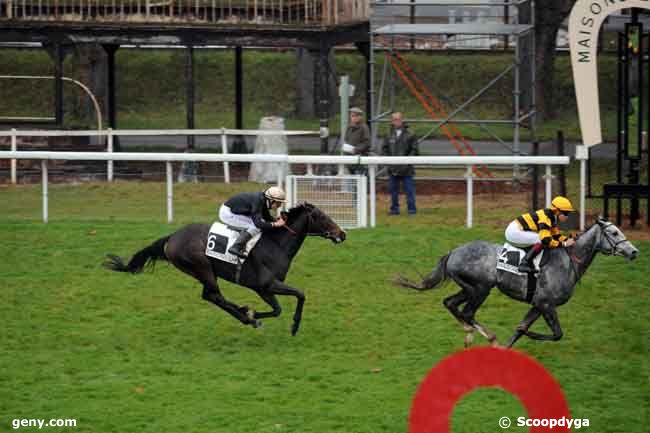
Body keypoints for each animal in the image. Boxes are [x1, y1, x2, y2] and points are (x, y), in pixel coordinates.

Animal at [394, 218, 636, 346]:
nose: (634, 251)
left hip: (470, 288)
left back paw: (471, 334)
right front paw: (527, 336)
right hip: (480, 288)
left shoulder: (539, 304)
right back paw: (488, 337)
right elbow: (556, 334)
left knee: (451, 304)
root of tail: (453, 252)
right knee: (467, 312)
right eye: (614, 232)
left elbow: (521, 329)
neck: (568, 261)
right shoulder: (546, 303)